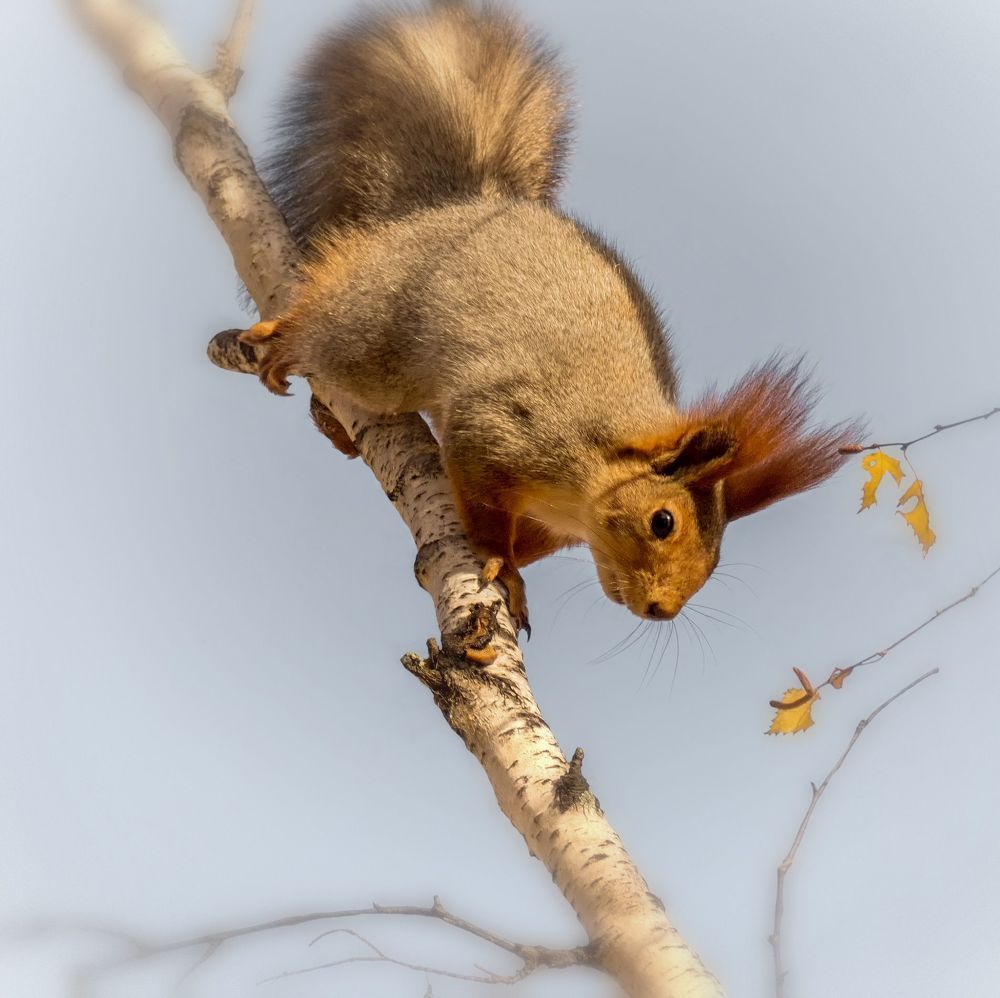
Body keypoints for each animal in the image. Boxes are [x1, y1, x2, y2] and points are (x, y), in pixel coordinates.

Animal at [239, 0, 860, 636]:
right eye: (663, 521)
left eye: (714, 560)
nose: (661, 610)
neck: (584, 476)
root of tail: (462, 204)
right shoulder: (501, 428)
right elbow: (485, 506)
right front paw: (500, 562)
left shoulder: (549, 522)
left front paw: (510, 568)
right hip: (381, 337)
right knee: (334, 325)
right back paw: (284, 338)